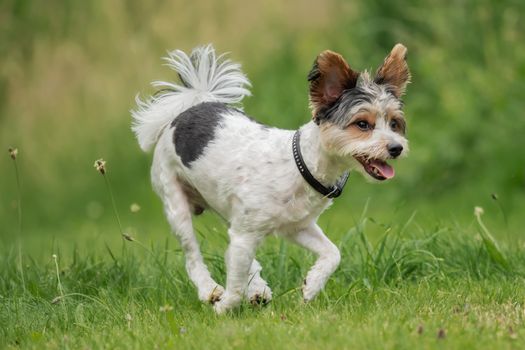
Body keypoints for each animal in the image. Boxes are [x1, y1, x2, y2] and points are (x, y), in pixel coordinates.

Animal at [131, 43, 410, 314]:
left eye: (394, 124)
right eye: (362, 124)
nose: (397, 148)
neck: (301, 164)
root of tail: (190, 107)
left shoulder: (297, 226)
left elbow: (333, 253)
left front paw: (311, 286)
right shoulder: (246, 235)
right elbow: (234, 284)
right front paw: (225, 308)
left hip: (228, 210)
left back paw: (257, 290)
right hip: (175, 202)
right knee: (192, 256)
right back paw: (210, 290)